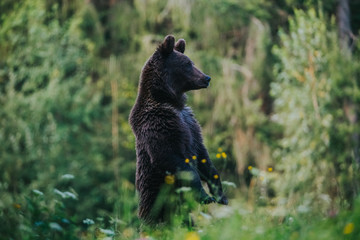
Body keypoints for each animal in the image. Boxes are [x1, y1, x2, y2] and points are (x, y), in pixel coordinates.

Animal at [129, 34, 228, 224]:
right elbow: (172, 157)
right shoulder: (160, 123)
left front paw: (220, 195)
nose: (207, 78)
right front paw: (205, 196)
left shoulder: (190, 123)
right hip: (158, 203)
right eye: (188, 64)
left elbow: (204, 157)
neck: (170, 100)